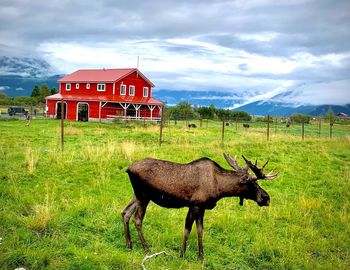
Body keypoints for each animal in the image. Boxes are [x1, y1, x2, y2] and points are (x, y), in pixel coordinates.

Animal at [121, 153, 278, 258]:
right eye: (253, 183)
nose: (266, 198)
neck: (220, 188)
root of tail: (128, 169)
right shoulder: (194, 205)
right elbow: (187, 230)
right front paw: (182, 254)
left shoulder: (201, 208)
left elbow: (200, 231)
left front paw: (201, 256)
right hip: (143, 196)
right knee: (137, 219)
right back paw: (146, 249)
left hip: (137, 195)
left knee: (125, 212)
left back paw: (129, 244)